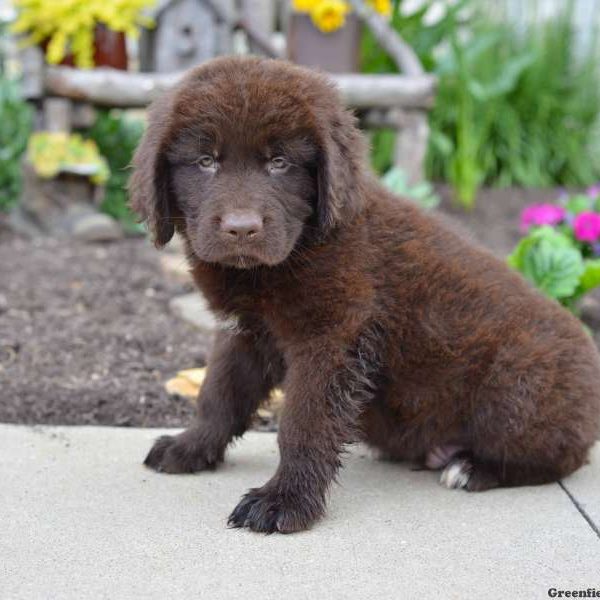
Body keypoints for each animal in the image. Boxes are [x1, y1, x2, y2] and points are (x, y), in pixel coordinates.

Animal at [130, 57, 600, 536]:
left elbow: (303, 423)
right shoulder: (244, 331)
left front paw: (284, 500)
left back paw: (472, 468)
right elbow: (219, 394)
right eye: (205, 161)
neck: (286, 257)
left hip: (517, 389)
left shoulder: (331, 337)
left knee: (560, 457)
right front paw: (190, 446)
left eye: (279, 163)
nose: (241, 229)